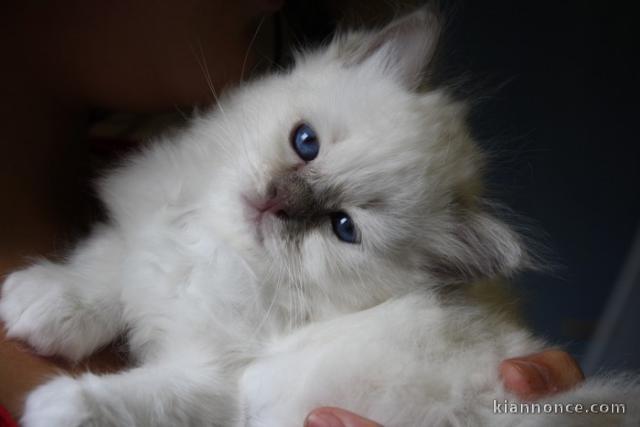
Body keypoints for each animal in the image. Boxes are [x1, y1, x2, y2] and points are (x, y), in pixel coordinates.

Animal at [1, 6, 640, 427]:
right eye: (304, 143)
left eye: (342, 227)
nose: (276, 203)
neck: (222, 253)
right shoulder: (152, 229)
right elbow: (106, 269)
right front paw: (39, 305)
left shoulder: (222, 382)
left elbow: (142, 400)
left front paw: (59, 405)